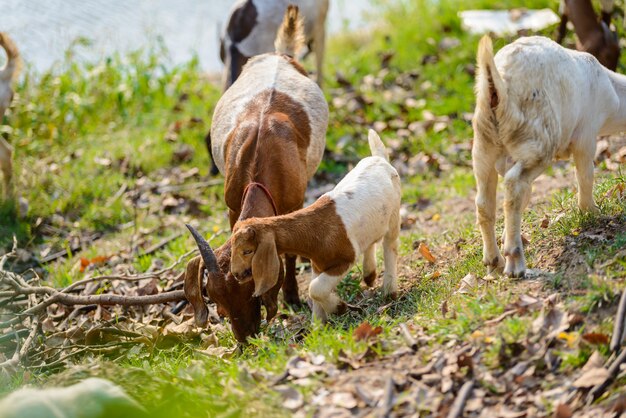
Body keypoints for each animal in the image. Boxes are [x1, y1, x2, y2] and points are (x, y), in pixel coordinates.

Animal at [183, 4, 326, 342]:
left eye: (249, 285)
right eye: (213, 296)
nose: (245, 337)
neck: (258, 172)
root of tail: (279, 54)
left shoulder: (293, 203)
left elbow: (289, 251)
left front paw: (292, 297)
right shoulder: (233, 207)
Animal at [229, 131, 400, 324]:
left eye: (247, 251)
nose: (236, 274)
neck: (316, 230)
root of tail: (380, 158)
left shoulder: (344, 259)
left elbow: (315, 289)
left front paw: (339, 308)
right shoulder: (317, 264)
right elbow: (315, 292)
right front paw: (319, 325)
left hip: (394, 214)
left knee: (390, 245)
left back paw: (390, 291)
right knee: (371, 241)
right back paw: (369, 276)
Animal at [470, 35, 624, 278]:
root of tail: (497, 88)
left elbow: (527, 196)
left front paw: (506, 237)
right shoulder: (586, 135)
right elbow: (585, 176)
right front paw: (591, 211)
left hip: (484, 146)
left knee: (485, 202)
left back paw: (494, 261)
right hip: (537, 140)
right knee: (514, 187)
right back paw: (515, 263)